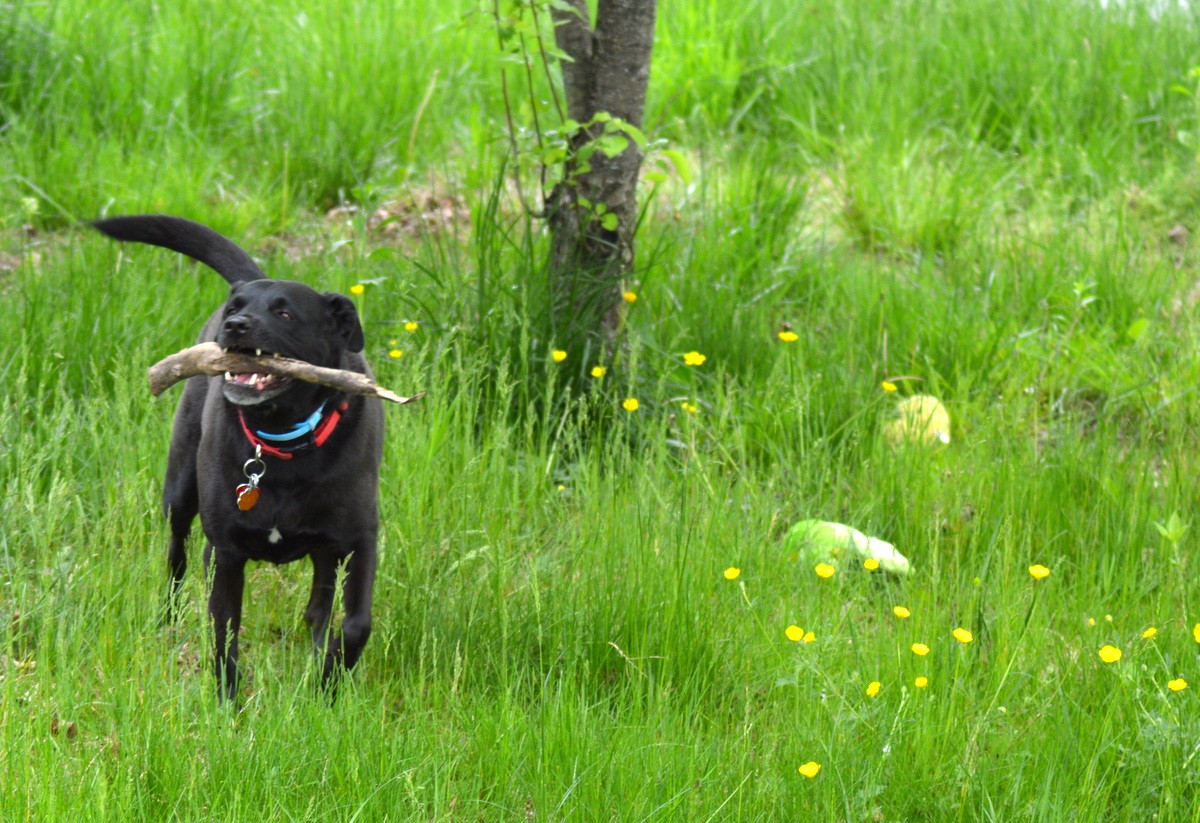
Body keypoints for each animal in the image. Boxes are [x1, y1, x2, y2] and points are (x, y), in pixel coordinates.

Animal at [95, 214, 381, 700]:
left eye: (285, 313)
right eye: (236, 310)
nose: (235, 325)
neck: (282, 442)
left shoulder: (361, 541)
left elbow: (356, 624)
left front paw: (327, 689)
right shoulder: (226, 552)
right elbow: (224, 631)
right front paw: (229, 704)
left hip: (326, 546)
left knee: (320, 598)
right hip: (179, 493)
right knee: (177, 558)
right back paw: (166, 621)